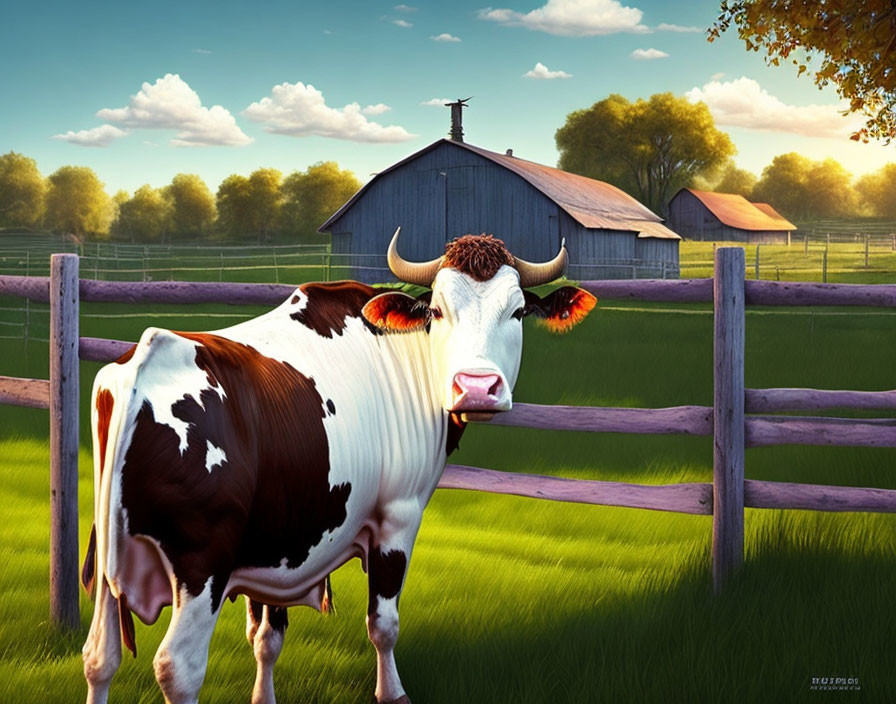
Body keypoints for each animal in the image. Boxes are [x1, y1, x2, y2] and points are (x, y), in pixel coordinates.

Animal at [82, 228, 596, 700]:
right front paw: (392, 692)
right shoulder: (397, 518)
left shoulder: (282, 539)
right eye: (437, 311)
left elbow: (266, 637)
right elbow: (383, 624)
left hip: (110, 559)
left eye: (518, 311)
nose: (476, 387)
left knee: (99, 658)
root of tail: (144, 358)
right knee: (178, 668)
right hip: (202, 563)